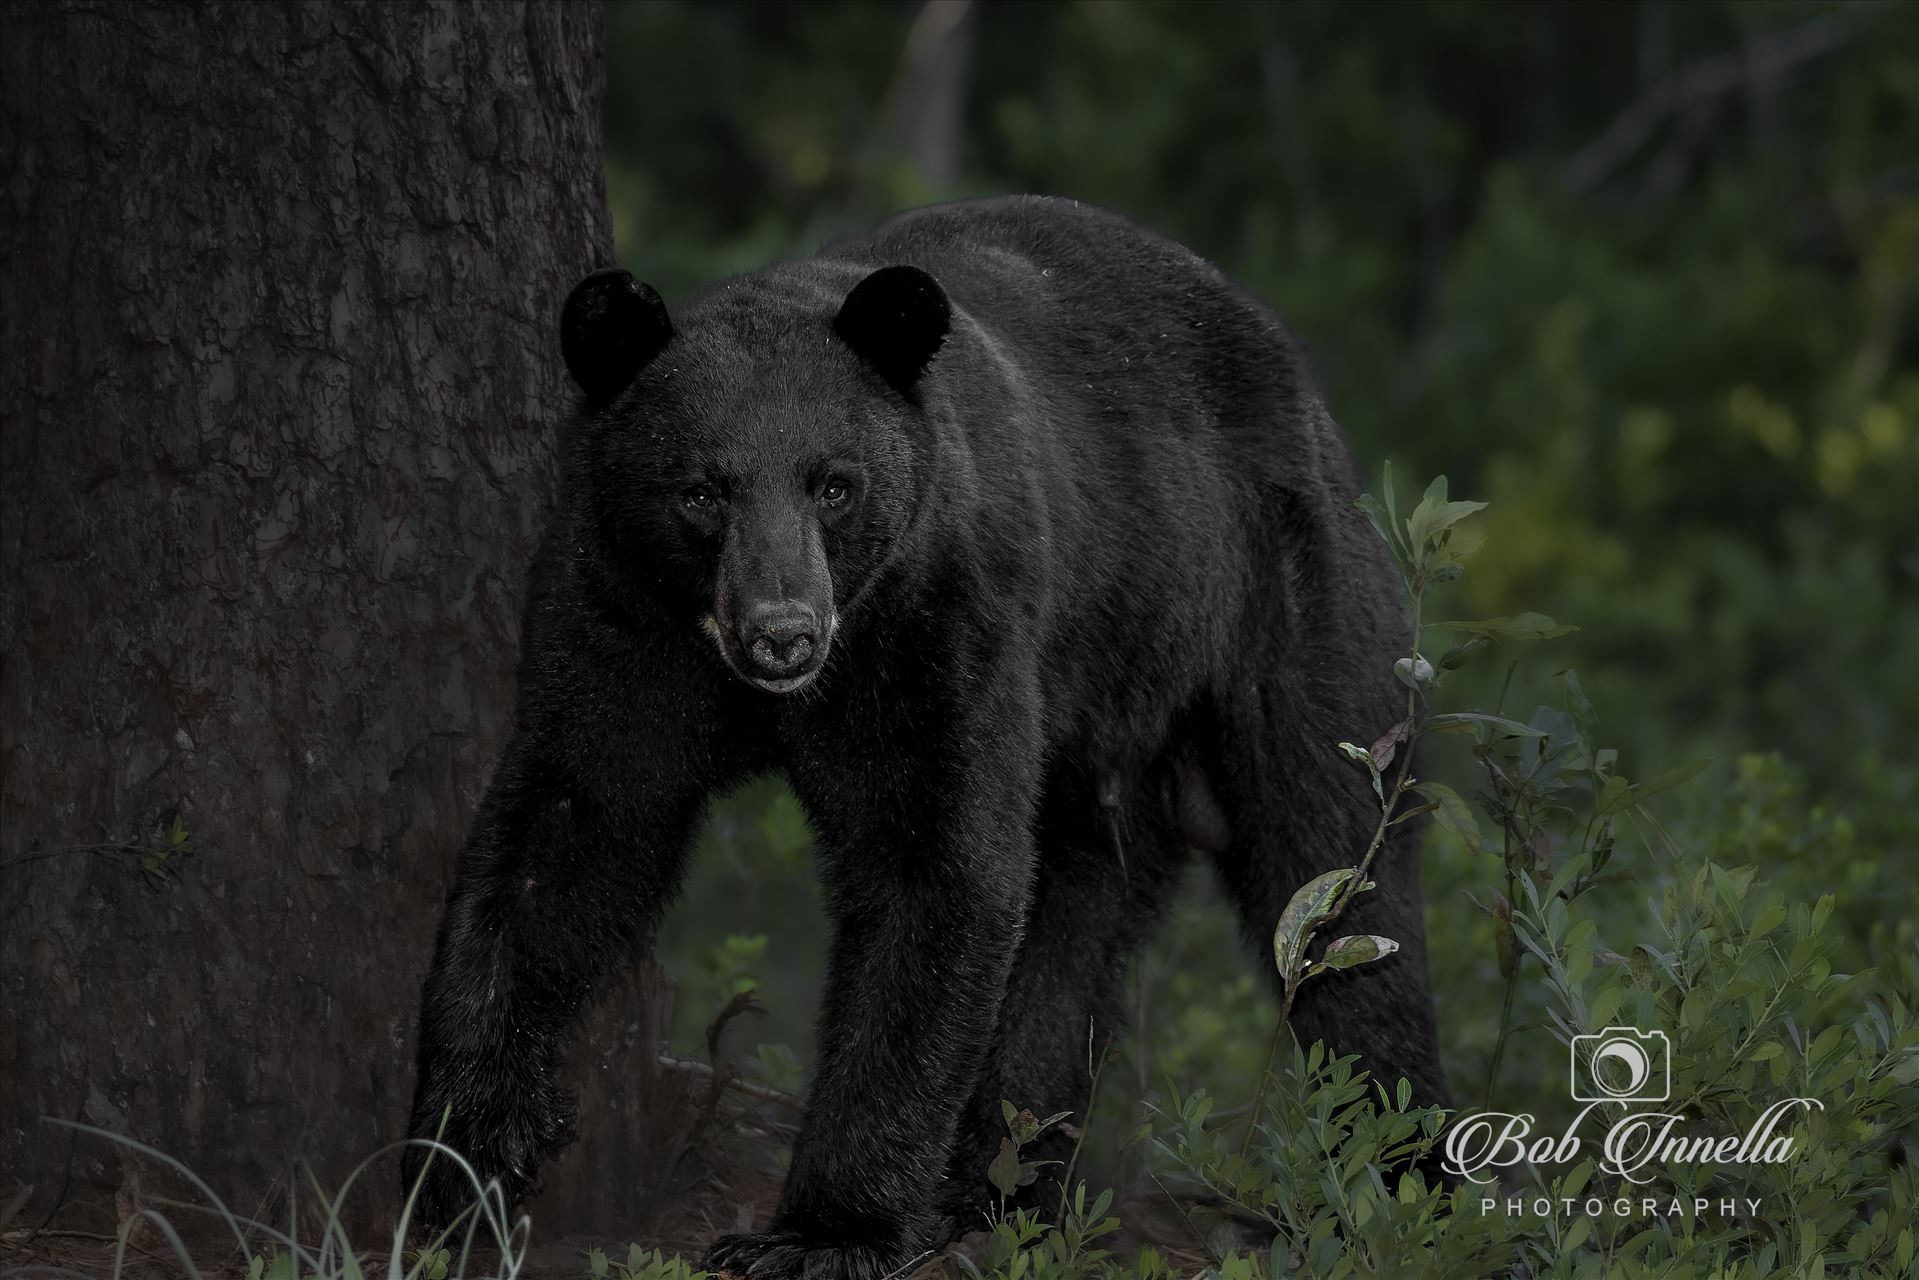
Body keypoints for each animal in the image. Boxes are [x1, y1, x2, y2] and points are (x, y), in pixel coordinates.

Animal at [404, 195, 1443, 1274]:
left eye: (833, 483)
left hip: (1286, 603)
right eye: (698, 490)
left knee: (1337, 879)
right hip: (1107, 724)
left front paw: (821, 1230)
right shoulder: (617, 618)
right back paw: (999, 1189)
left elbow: (936, 867)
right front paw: (468, 1143)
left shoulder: (939, 621)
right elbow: (574, 828)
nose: (782, 630)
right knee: (1078, 916)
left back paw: (1401, 1178)